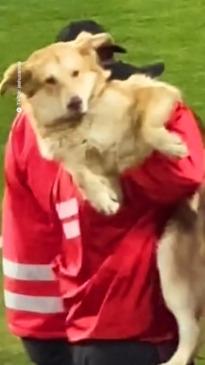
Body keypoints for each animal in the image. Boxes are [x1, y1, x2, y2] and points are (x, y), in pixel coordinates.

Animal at [0, 32, 204, 364]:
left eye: (75, 73)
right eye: (49, 81)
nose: (75, 102)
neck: (80, 125)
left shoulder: (156, 92)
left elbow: (146, 123)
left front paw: (171, 145)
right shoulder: (86, 164)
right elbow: (79, 172)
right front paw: (101, 198)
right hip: (169, 264)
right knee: (191, 332)